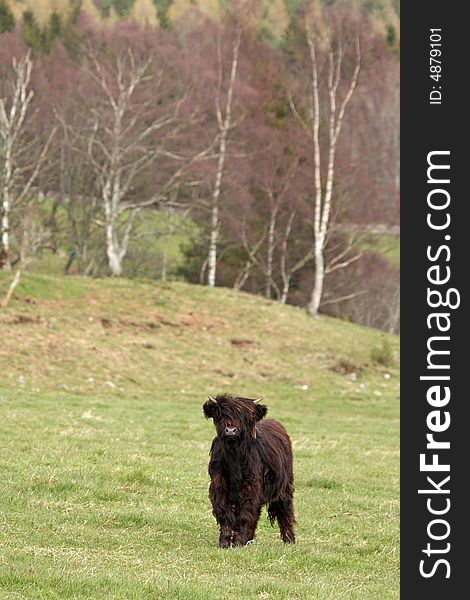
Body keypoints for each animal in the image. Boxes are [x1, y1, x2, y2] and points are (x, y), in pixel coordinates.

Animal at [201, 394, 294, 548]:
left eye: (244, 417)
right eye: (220, 415)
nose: (230, 430)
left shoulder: (251, 487)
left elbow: (245, 514)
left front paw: (238, 542)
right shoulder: (219, 485)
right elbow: (224, 513)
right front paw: (224, 542)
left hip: (285, 487)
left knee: (285, 511)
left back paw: (290, 540)